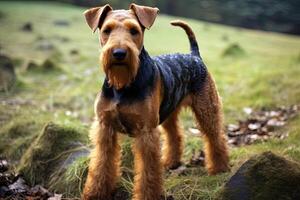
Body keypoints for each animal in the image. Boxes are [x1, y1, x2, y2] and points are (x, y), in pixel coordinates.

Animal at [82, 3, 230, 200]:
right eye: (106, 30)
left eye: (134, 30)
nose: (119, 53)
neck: (123, 85)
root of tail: (194, 55)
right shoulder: (105, 128)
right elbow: (101, 165)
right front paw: (95, 193)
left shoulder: (146, 132)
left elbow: (148, 172)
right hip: (169, 112)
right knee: (175, 136)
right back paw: (170, 162)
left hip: (206, 109)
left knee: (215, 137)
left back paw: (220, 168)